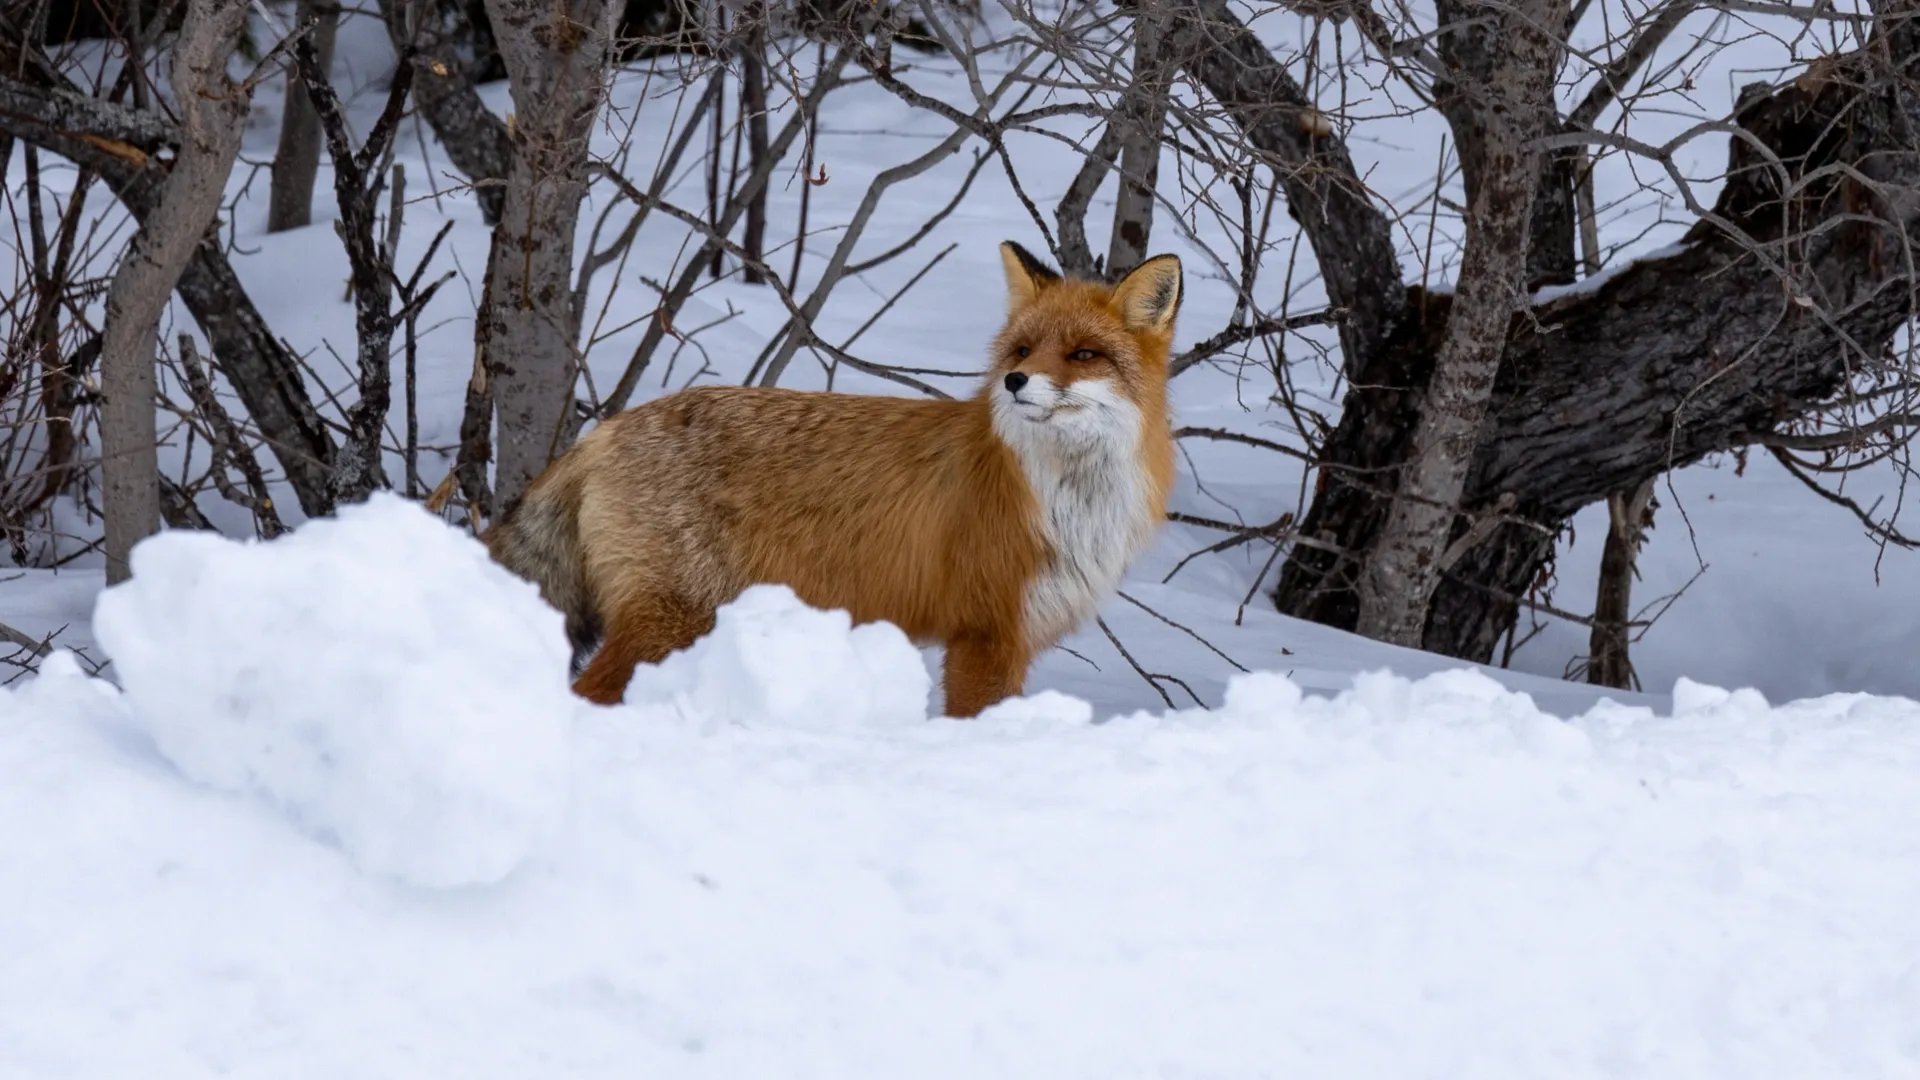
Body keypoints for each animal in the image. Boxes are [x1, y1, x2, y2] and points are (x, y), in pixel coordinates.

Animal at [487, 242, 1175, 714]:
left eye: (1084, 354)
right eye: (1023, 351)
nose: (1013, 382)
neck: (1063, 497)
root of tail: (606, 428)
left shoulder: (1013, 634)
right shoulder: (985, 632)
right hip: (672, 619)